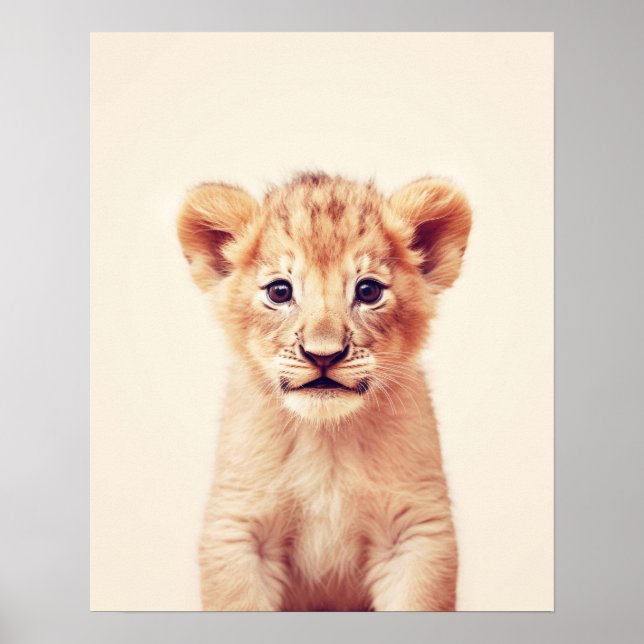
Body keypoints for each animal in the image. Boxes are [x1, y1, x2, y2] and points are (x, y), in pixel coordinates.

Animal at [177, 172, 471, 611]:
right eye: (279, 292)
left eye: (368, 291)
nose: (323, 355)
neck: (325, 439)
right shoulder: (238, 527)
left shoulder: (414, 530)